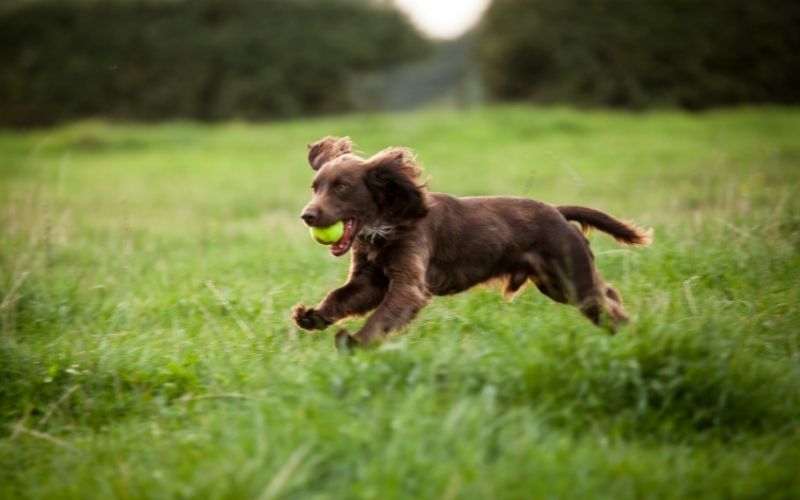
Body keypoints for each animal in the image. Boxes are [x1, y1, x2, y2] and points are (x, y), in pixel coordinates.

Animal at [290, 135, 652, 350]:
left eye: (341, 187)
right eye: (315, 187)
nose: (307, 215)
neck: (387, 224)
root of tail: (558, 211)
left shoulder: (409, 284)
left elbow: (382, 316)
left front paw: (355, 341)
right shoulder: (369, 280)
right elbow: (340, 296)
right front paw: (313, 316)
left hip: (571, 279)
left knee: (605, 302)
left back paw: (633, 336)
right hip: (556, 284)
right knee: (608, 294)